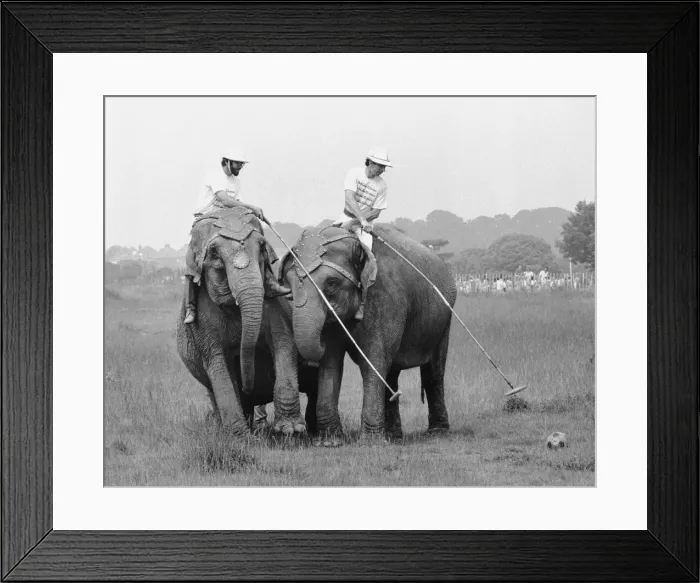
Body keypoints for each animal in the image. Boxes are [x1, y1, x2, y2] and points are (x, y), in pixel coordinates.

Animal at [176, 207, 317, 437]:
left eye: (262, 248)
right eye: (214, 254)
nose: (247, 388)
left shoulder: (272, 304)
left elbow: (283, 342)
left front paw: (291, 430)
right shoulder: (202, 319)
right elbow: (217, 361)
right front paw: (238, 437)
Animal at [279, 225, 457, 442]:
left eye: (332, 283)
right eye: (289, 284)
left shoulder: (385, 300)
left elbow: (372, 361)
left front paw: (370, 442)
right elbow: (332, 362)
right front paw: (329, 442)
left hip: (444, 318)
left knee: (433, 371)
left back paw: (437, 432)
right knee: (392, 373)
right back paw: (394, 436)